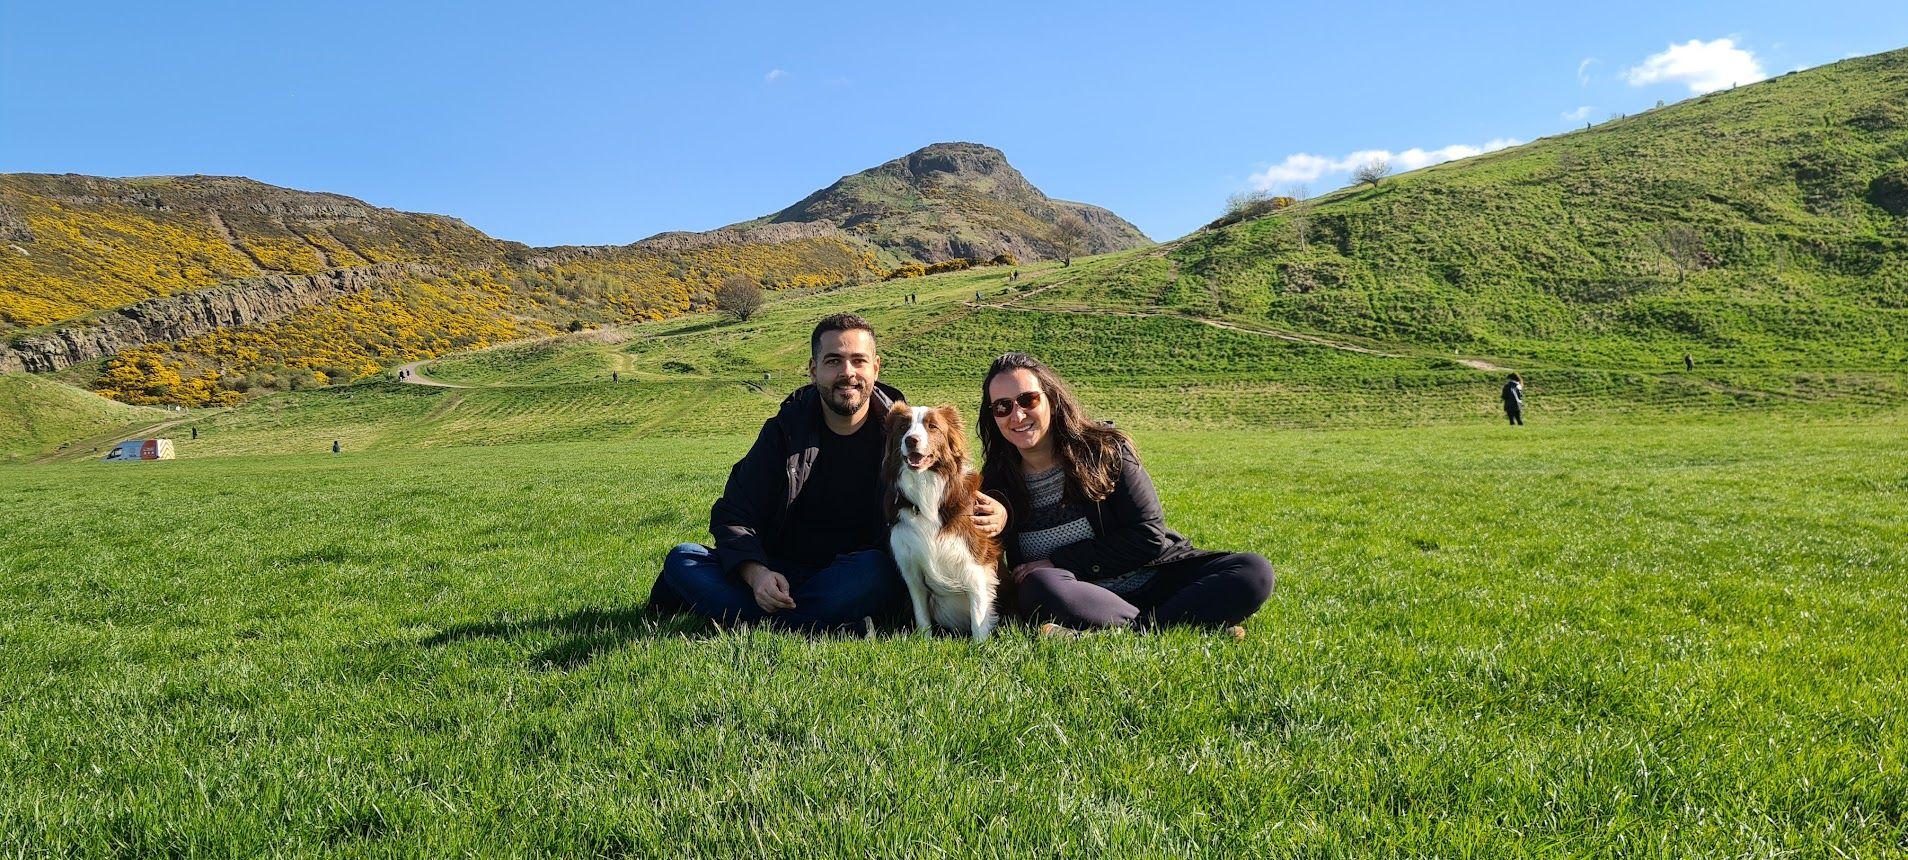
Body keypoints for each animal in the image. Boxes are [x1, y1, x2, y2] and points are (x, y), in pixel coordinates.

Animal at [877, 404, 999, 640]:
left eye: (932, 426)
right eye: (903, 427)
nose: (911, 440)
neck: (926, 489)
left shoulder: (975, 563)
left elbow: (978, 614)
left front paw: (980, 645)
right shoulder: (911, 566)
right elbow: (921, 613)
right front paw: (925, 641)